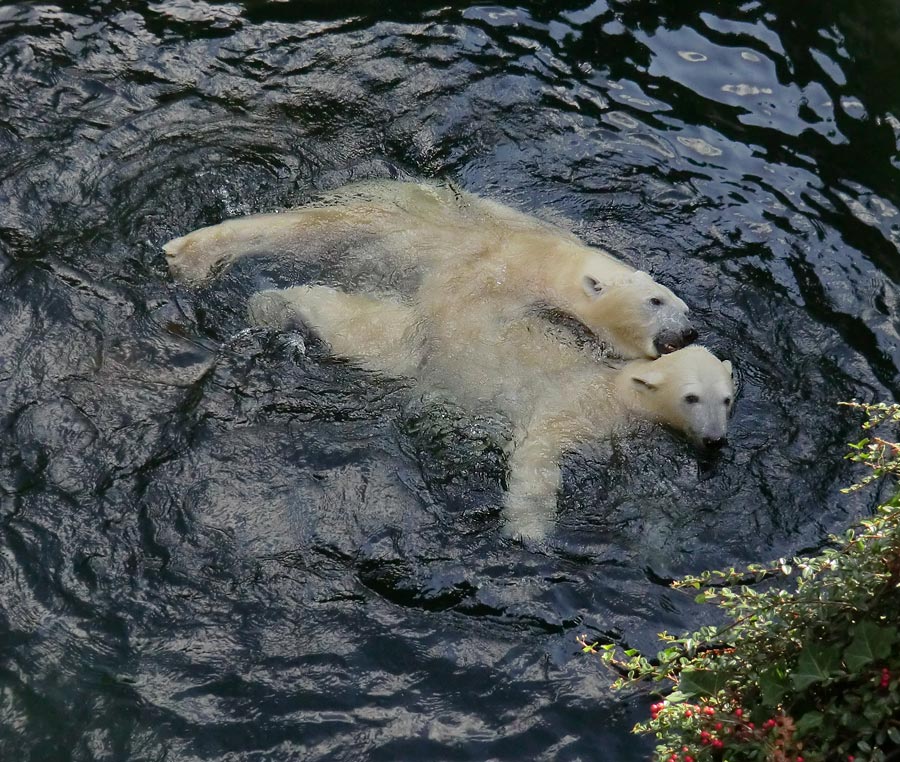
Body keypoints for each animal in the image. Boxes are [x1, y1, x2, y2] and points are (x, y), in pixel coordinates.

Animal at [244, 284, 732, 540]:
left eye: (726, 398)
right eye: (691, 397)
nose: (715, 440)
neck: (614, 389)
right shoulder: (572, 406)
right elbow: (537, 454)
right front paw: (528, 532)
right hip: (425, 346)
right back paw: (272, 304)